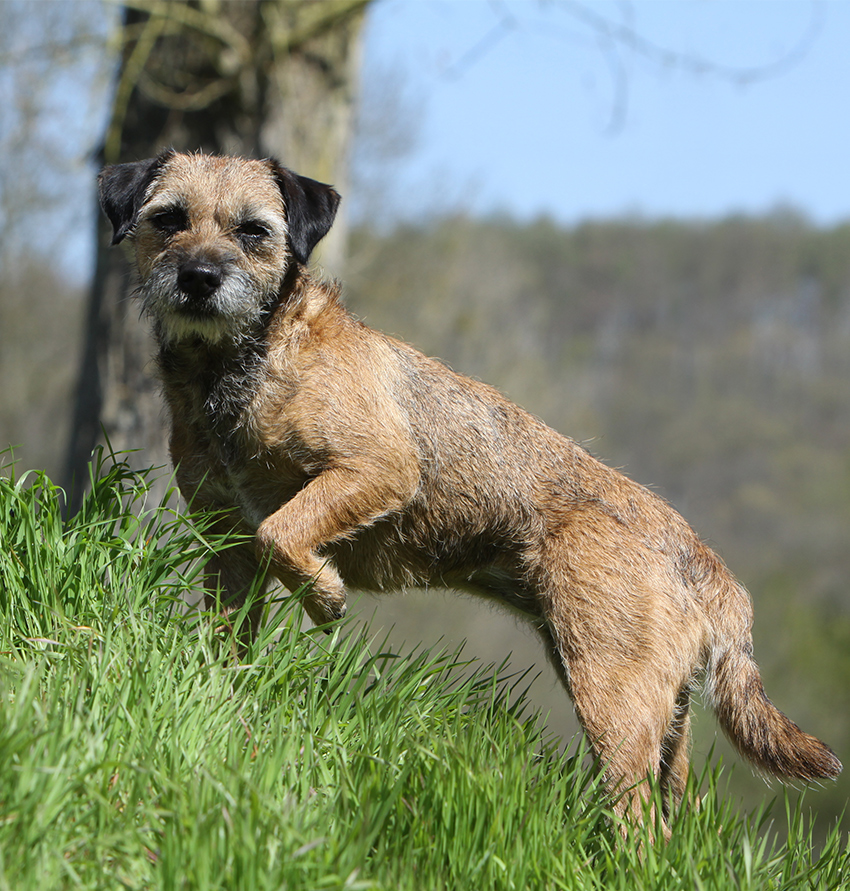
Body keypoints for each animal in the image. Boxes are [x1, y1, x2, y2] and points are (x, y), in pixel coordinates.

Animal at [99, 152, 840, 828]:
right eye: (169, 219)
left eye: (253, 230)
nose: (199, 277)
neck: (240, 364)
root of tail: (700, 556)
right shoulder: (225, 536)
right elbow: (230, 620)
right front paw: (225, 689)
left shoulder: (378, 468)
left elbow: (281, 526)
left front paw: (326, 594)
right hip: (661, 712)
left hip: (611, 690)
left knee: (633, 818)